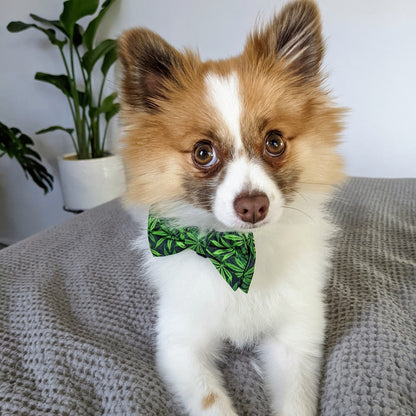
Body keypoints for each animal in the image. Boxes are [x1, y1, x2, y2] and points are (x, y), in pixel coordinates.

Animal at [117, 0, 344, 416]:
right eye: (203, 153)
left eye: (275, 142)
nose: (253, 206)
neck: (237, 254)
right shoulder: (180, 346)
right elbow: (211, 401)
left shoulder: (296, 338)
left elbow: (295, 401)